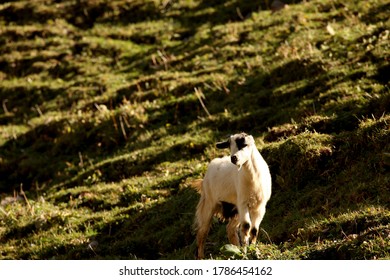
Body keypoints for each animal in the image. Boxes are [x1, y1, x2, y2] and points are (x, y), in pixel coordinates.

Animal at [193, 132, 272, 260]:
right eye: (230, 146)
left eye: (244, 144)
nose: (233, 158)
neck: (253, 179)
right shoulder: (243, 203)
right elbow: (246, 227)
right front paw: (245, 252)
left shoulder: (260, 207)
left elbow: (254, 230)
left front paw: (254, 252)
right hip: (209, 204)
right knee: (202, 232)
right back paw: (201, 257)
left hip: (235, 209)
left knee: (230, 228)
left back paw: (236, 248)